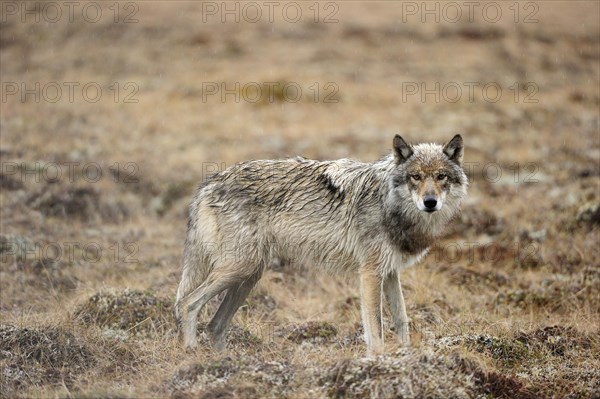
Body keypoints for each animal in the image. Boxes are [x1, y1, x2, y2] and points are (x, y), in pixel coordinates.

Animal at [175, 135, 468, 356]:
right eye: (415, 177)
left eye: (441, 177)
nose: (430, 202)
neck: (389, 203)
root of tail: (209, 183)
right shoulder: (370, 273)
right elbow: (376, 328)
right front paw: (379, 360)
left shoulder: (390, 272)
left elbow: (401, 320)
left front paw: (408, 356)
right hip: (239, 269)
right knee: (187, 303)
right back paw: (193, 355)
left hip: (248, 276)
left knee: (215, 325)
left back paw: (224, 364)